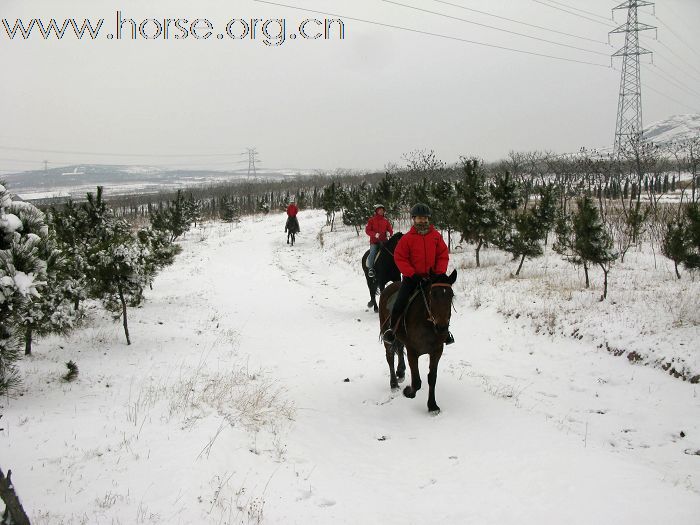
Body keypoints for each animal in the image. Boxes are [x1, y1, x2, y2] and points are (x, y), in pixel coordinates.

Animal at [380, 270, 456, 414]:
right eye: (433, 294)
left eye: (451, 295)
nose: (442, 328)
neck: (427, 323)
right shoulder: (412, 351)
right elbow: (416, 382)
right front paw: (408, 392)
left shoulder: (437, 351)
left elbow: (432, 378)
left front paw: (432, 406)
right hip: (387, 336)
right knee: (390, 357)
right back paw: (394, 384)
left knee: (399, 349)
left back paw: (401, 372)